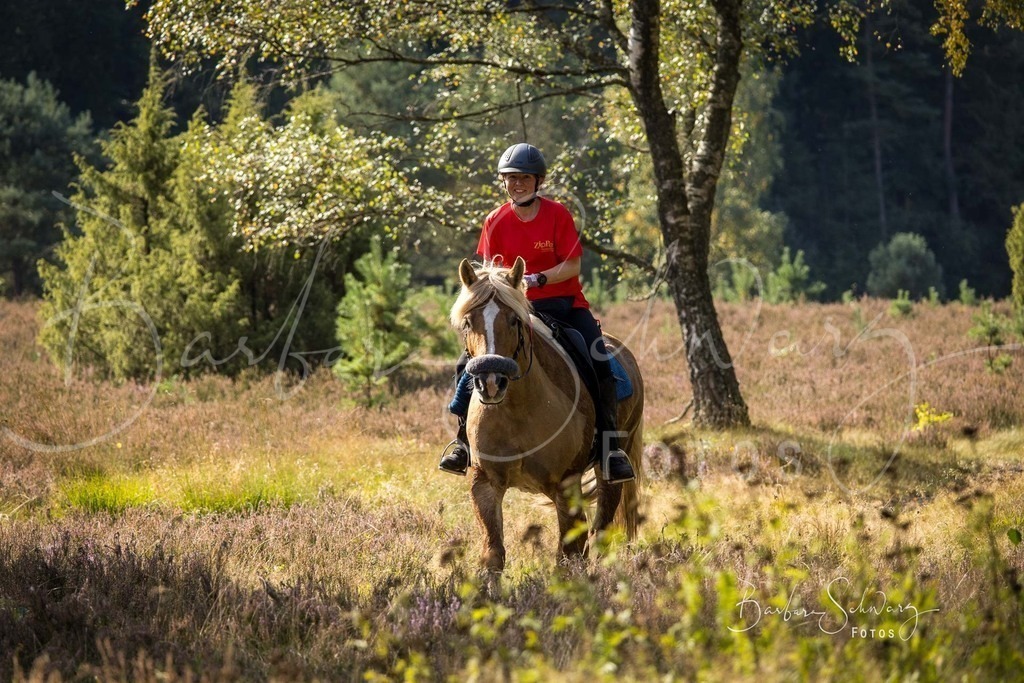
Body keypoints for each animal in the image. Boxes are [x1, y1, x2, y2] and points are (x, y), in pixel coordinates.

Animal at [449, 256, 644, 573]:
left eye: (514, 320)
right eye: (468, 322)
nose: (491, 381)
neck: (517, 412)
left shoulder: (566, 487)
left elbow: (569, 556)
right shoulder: (485, 484)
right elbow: (493, 554)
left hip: (611, 467)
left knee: (599, 533)